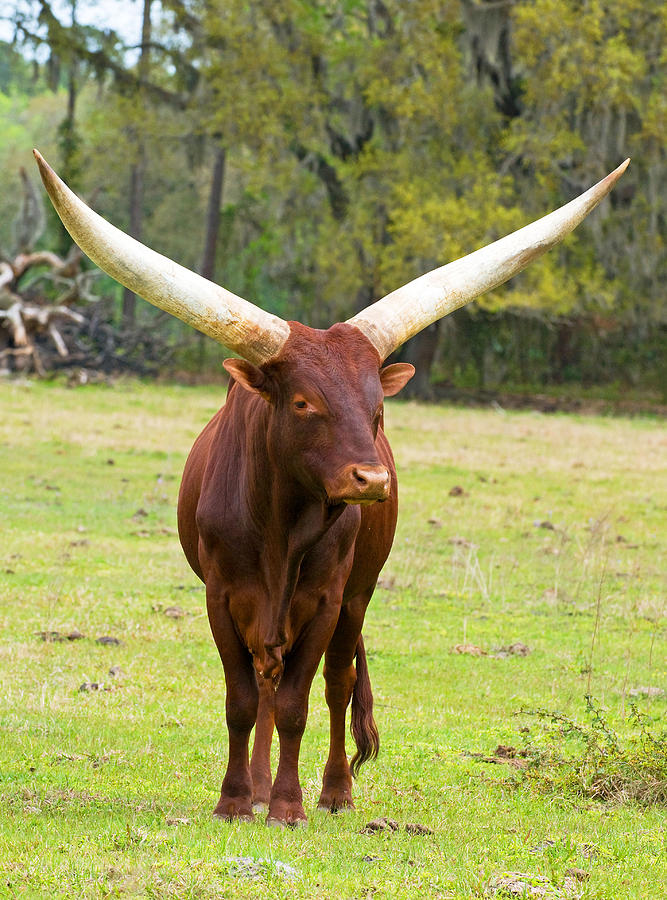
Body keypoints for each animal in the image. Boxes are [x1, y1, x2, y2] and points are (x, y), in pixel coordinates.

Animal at [35, 151, 632, 828]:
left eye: (378, 407)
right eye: (302, 401)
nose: (372, 480)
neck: (278, 525)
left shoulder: (326, 596)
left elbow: (301, 699)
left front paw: (289, 806)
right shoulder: (220, 594)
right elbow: (243, 699)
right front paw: (237, 800)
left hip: (358, 593)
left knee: (336, 682)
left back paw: (335, 791)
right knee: (268, 679)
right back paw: (261, 785)